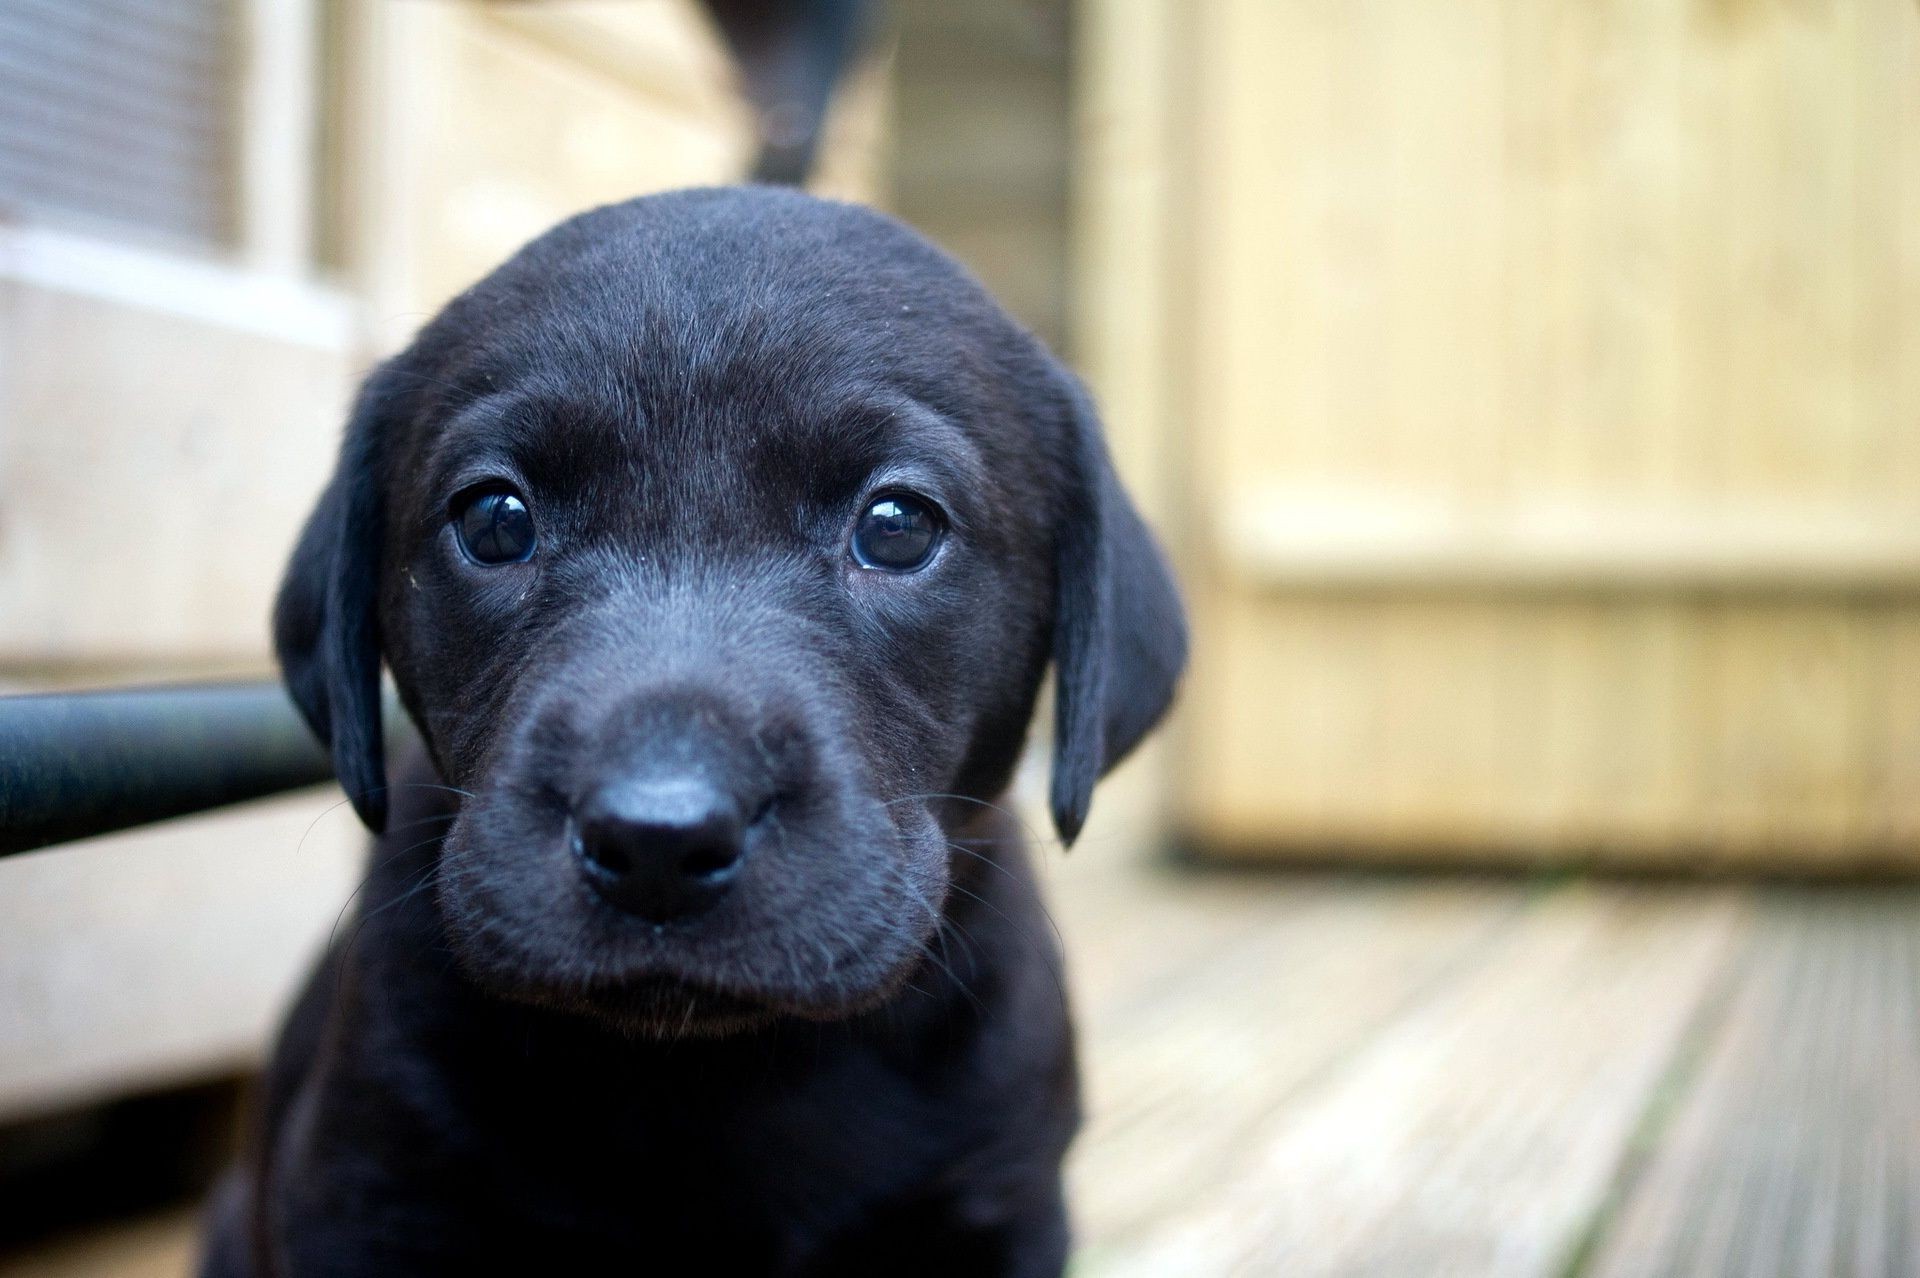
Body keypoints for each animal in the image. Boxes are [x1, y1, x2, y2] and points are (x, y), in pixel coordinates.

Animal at [198, 187, 1182, 1274]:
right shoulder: (368, 1197)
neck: (716, 1077)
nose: (657, 841)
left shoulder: (997, 1200)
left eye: (897, 526)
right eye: (496, 519)